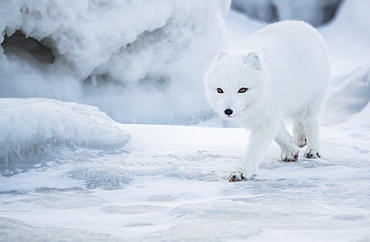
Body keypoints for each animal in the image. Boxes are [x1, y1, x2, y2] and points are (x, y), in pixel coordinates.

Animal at [205, 21, 330, 182]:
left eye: (242, 90)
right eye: (220, 90)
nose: (228, 111)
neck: (263, 92)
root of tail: (302, 23)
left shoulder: (268, 115)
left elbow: (255, 148)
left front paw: (242, 172)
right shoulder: (266, 114)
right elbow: (279, 135)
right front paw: (291, 149)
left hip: (313, 100)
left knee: (311, 122)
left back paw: (313, 150)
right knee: (298, 119)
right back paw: (300, 138)